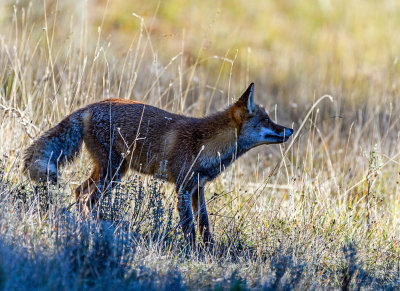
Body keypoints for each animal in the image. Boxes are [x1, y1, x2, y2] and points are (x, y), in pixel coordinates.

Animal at [23, 82, 292, 246]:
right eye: (266, 120)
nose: (289, 129)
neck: (207, 144)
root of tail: (88, 108)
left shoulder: (198, 188)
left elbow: (205, 225)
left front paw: (210, 252)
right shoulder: (183, 188)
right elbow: (189, 228)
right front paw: (194, 253)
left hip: (110, 170)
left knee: (81, 193)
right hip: (113, 171)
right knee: (84, 197)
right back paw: (91, 228)